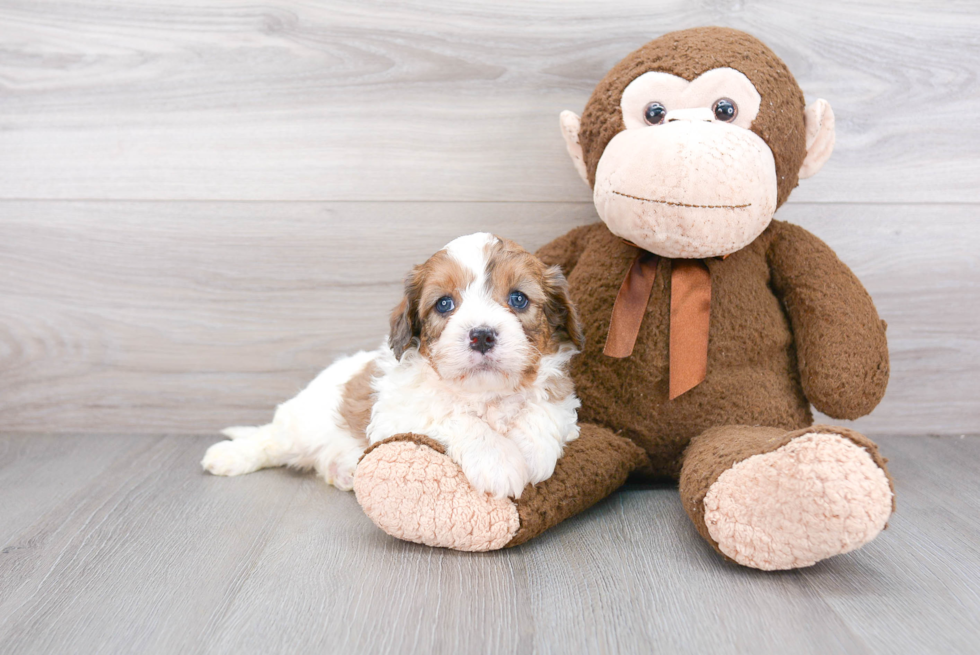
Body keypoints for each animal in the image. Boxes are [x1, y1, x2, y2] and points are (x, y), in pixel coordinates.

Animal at [199, 233, 580, 500]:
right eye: (444, 304)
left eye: (518, 299)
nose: (482, 336)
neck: (484, 394)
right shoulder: (398, 416)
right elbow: (454, 417)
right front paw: (499, 460)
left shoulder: (559, 396)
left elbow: (545, 409)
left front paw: (533, 451)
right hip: (300, 426)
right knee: (270, 441)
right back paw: (228, 456)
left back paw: (343, 472)